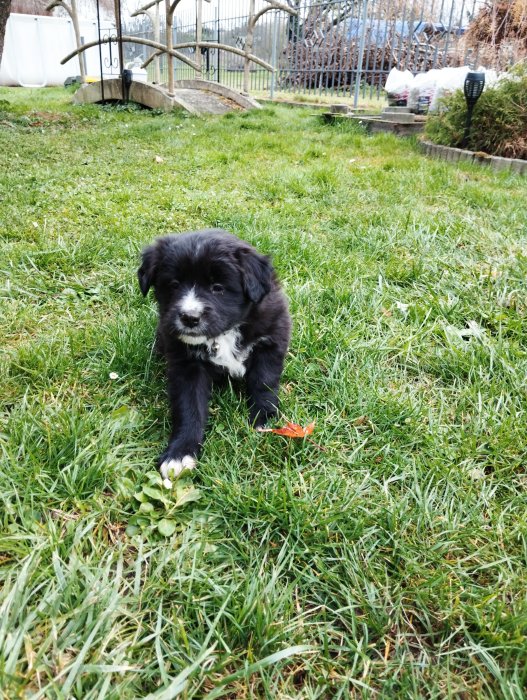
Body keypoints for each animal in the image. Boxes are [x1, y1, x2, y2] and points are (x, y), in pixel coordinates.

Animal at [138, 229, 291, 480]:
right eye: (174, 285)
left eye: (218, 287)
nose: (189, 318)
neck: (223, 334)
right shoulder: (185, 364)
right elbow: (189, 407)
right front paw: (180, 452)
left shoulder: (271, 340)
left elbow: (264, 382)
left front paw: (264, 418)